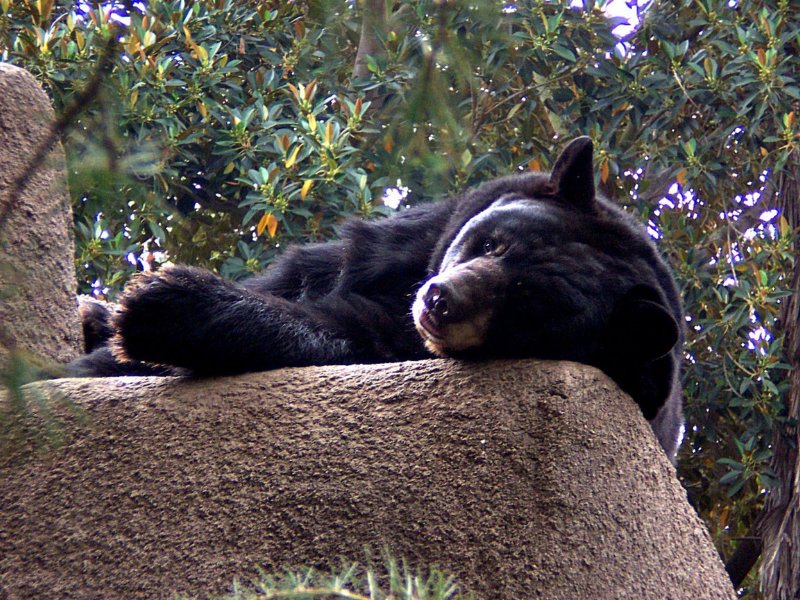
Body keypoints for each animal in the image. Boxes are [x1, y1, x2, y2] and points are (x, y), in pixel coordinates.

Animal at [67, 137, 680, 460]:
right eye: (491, 243)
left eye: (526, 308)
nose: (440, 300)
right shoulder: (416, 239)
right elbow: (307, 274)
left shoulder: (398, 339)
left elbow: (346, 331)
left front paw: (162, 307)